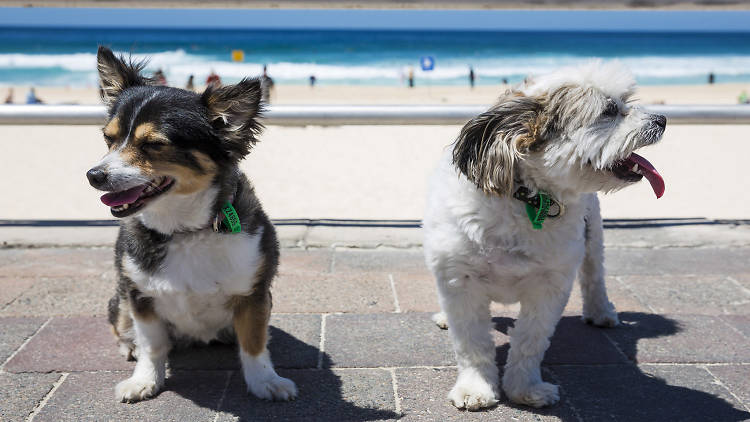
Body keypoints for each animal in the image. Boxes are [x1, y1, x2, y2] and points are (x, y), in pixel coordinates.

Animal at [88, 46, 296, 402]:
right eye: (108, 138)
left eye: (154, 144)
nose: (93, 175)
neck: (184, 231)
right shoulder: (140, 295)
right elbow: (152, 345)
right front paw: (145, 380)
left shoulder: (254, 295)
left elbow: (254, 343)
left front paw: (265, 381)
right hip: (120, 300)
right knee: (123, 327)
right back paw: (129, 347)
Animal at [426, 61, 668, 410]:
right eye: (609, 111)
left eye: (625, 102)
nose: (661, 119)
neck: (528, 198)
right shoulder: (461, 281)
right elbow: (472, 343)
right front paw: (476, 388)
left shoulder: (549, 285)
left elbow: (530, 340)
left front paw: (525, 388)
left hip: (592, 236)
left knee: (594, 277)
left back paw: (601, 312)